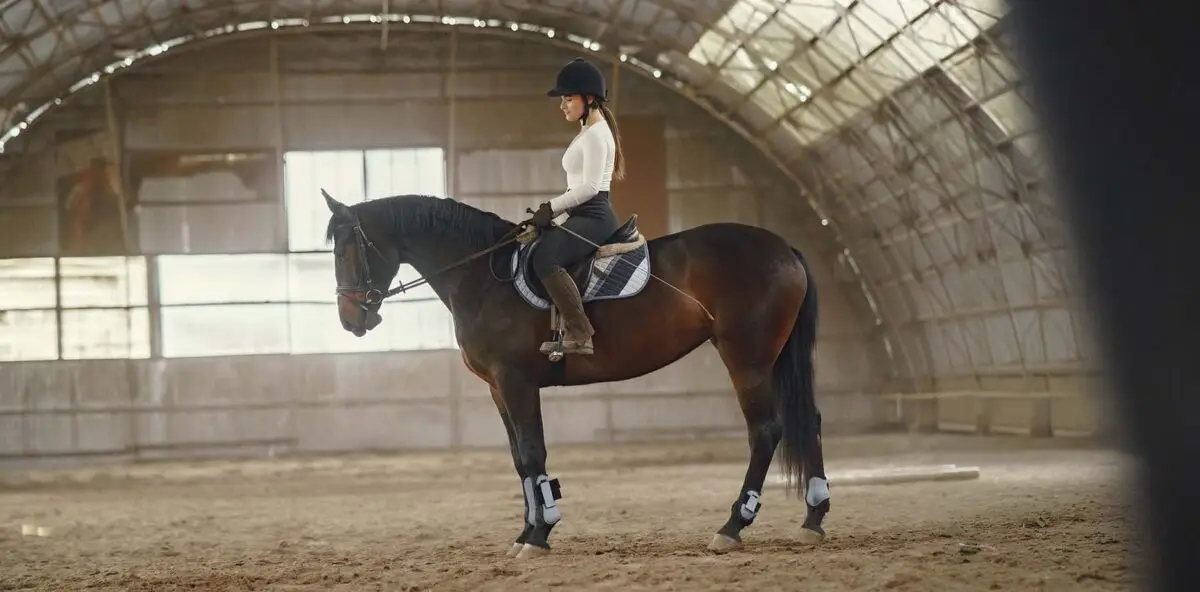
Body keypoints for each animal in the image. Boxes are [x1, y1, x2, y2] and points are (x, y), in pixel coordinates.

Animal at [320, 189, 830, 559]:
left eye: (346, 252)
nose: (350, 319)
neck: (481, 277)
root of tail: (784, 247)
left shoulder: (517, 382)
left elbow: (532, 453)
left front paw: (538, 535)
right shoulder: (498, 389)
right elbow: (519, 460)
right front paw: (528, 531)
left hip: (748, 359)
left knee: (766, 431)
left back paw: (732, 526)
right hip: (773, 360)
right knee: (808, 423)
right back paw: (813, 519)